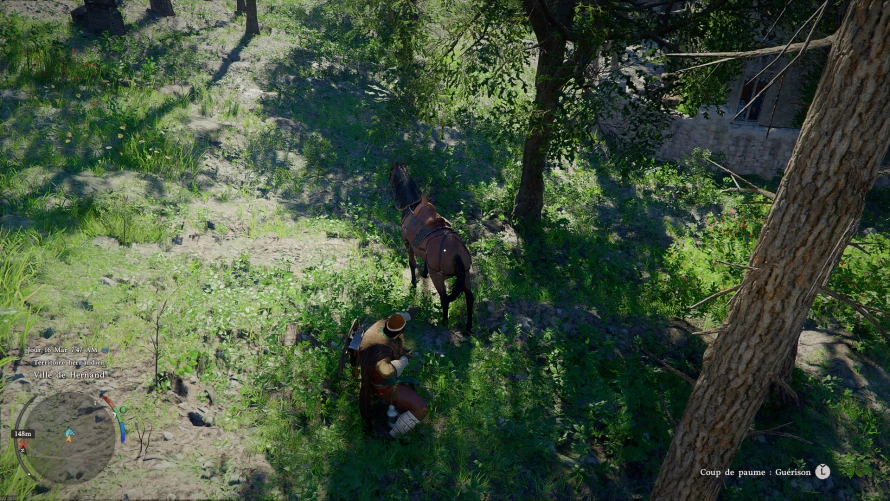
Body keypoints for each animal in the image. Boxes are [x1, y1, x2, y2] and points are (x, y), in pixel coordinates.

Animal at [389, 162, 474, 332]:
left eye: (391, 174)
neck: (412, 205)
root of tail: (457, 254)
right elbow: (423, 262)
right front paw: (424, 273)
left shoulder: (408, 244)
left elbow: (412, 263)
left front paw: (414, 283)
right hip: (466, 276)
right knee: (469, 298)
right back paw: (468, 329)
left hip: (439, 278)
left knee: (445, 299)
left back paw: (444, 322)